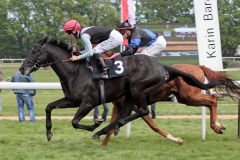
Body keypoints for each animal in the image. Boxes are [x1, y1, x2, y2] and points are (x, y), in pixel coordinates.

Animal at [19, 37, 222, 141]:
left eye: (35, 51)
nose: (22, 69)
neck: (74, 71)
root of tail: (162, 67)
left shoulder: (88, 102)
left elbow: (75, 122)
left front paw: (95, 124)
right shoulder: (72, 100)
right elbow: (49, 107)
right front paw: (48, 132)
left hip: (142, 89)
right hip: (138, 94)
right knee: (134, 114)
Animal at [101, 63, 240, 145]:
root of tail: (199, 66)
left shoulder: (136, 106)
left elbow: (153, 126)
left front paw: (176, 139)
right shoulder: (118, 106)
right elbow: (111, 126)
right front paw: (103, 145)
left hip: (188, 96)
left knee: (213, 98)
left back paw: (216, 126)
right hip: (186, 98)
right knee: (210, 101)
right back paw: (218, 125)